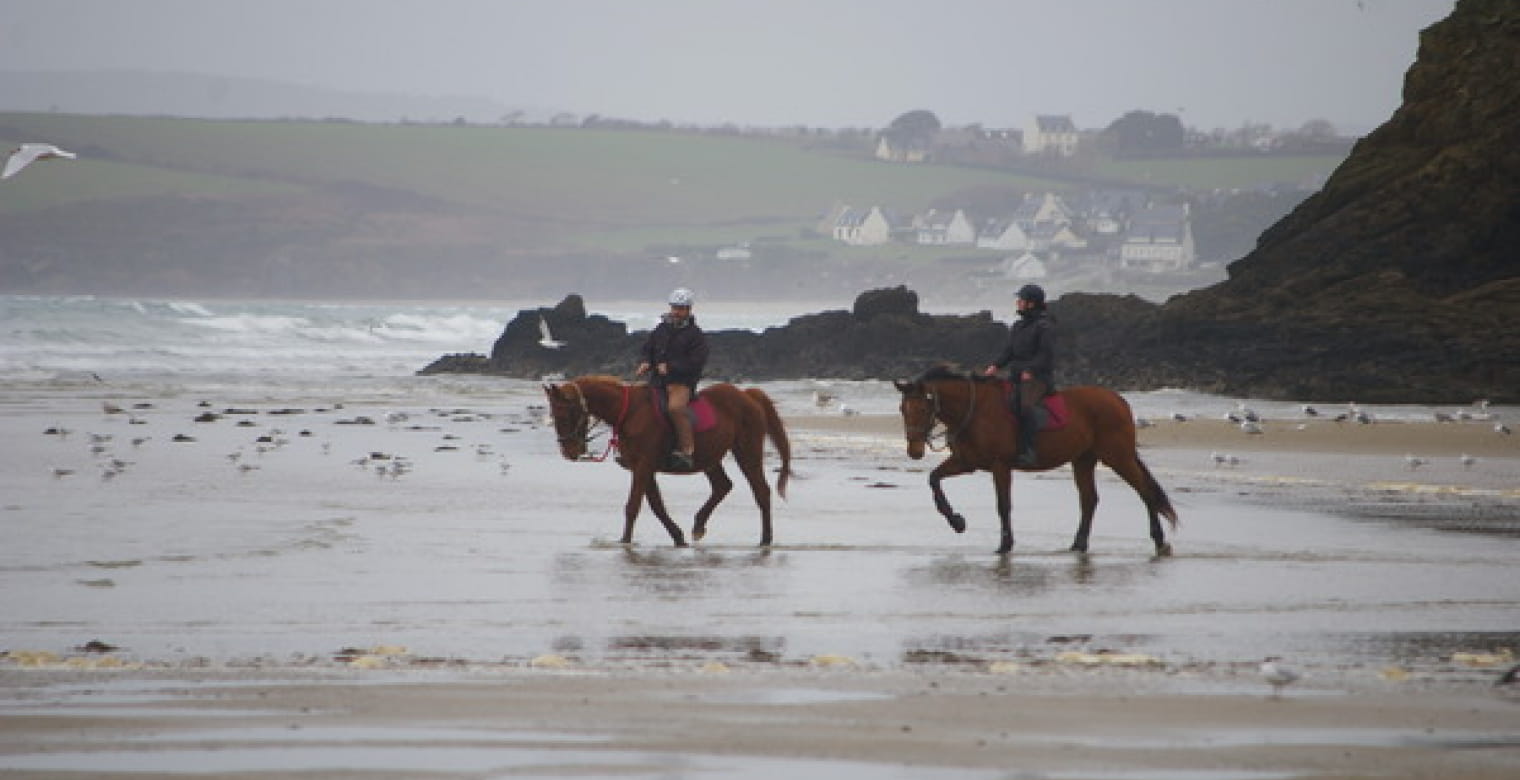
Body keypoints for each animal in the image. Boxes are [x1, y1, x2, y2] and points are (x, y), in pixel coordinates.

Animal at [544, 377, 796, 547]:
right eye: (554, 416)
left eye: (566, 414)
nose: (569, 451)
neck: (630, 413)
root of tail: (747, 396)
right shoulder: (642, 468)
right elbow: (656, 505)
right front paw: (678, 537)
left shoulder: (644, 466)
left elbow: (633, 506)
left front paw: (624, 540)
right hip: (709, 457)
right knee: (722, 486)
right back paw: (698, 526)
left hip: (747, 452)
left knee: (761, 491)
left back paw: (765, 539)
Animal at [887, 364, 1173, 553]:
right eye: (902, 408)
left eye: (923, 407)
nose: (914, 451)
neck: (975, 410)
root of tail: (1119, 401)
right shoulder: (966, 463)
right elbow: (934, 479)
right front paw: (956, 521)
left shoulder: (1000, 466)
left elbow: (1003, 505)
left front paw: (1004, 545)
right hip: (1083, 459)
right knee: (1089, 500)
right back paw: (1078, 545)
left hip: (1118, 456)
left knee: (1144, 490)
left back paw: (1159, 539)